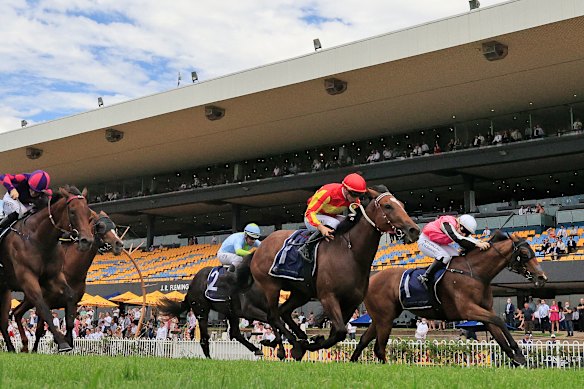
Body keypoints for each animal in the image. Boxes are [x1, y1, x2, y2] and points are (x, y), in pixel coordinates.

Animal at [0, 186, 93, 352]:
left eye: (88, 213)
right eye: (72, 211)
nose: (86, 241)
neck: (38, 238)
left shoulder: (53, 276)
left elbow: (70, 297)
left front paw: (68, 338)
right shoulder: (28, 278)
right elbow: (43, 307)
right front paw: (62, 342)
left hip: (4, 289)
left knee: (4, 320)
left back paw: (12, 348)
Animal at [13, 211, 124, 354]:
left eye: (114, 227)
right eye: (101, 226)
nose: (119, 244)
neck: (71, 272)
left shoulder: (73, 302)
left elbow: (70, 323)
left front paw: (66, 342)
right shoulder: (45, 302)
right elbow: (40, 329)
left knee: (16, 313)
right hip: (30, 297)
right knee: (17, 313)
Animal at [228, 186, 420, 360]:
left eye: (402, 204)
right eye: (388, 206)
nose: (414, 230)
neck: (350, 253)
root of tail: (259, 249)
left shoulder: (351, 302)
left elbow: (337, 333)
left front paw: (312, 341)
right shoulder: (328, 296)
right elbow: (340, 332)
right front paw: (309, 344)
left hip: (301, 292)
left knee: (283, 312)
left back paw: (296, 339)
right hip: (271, 286)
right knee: (273, 315)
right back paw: (289, 347)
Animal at [352, 229, 548, 366]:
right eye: (524, 254)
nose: (542, 277)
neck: (474, 273)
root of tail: (372, 278)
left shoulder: (484, 309)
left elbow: (498, 332)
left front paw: (517, 357)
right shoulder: (468, 309)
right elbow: (499, 321)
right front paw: (518, 353)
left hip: (382, 317)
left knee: (364, 340)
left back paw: (353, 362)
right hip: (385, 318)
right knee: (379, 347)